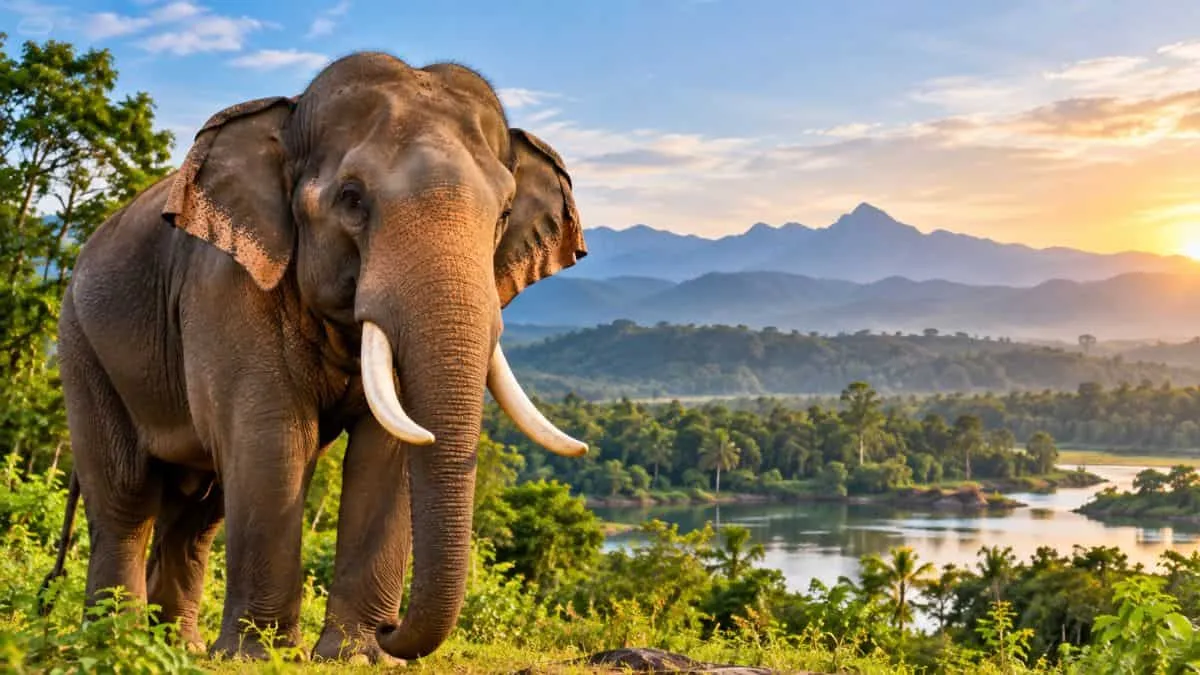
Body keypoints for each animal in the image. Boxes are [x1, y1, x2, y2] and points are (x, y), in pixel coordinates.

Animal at [42, 51, 590, 663]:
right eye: (352, 198)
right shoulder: (224, 282)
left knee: (197, 512)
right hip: (81, 345)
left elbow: (386, 447)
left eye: (503, 214)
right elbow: (272, 436)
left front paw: (357, 655)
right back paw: (117, 641)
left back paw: (181, 647)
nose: (392, 628)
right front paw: (262, 657)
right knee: (126, 497)